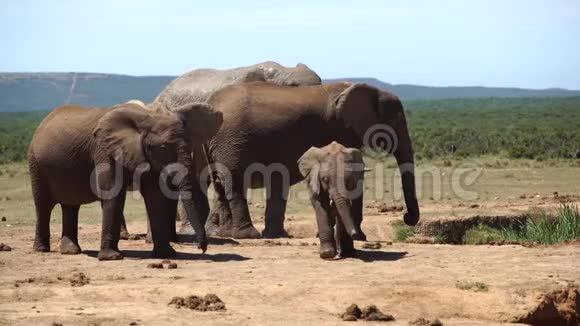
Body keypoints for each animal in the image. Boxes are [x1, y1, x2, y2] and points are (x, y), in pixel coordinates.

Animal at [27, 102, 223, 260]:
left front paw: (167, 255)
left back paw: (70, 251)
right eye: (163, 147)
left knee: (70, 206)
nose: (201, 248)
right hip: (35, 164)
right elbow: (113, 195)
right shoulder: (104, 150)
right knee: (43, 206)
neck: (145, 117)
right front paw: (111, 258)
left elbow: (155, 197)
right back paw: (42, 250)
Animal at [205, 81, 422, 239]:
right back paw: (248, 235)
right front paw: (358, 236)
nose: (406, 218)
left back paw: (231, 234)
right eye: (395, 120)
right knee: (234, 181)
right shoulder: (340, 129)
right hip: (230, 141)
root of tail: (212, 103)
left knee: (220, 184)